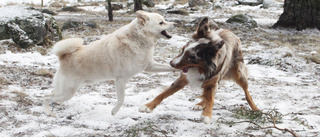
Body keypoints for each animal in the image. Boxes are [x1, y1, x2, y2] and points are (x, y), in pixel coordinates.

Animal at [43, 10, 176, 116]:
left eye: (164, 20)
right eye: (161, 22)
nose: (175, 24)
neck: (138, 38)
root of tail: (64, 56)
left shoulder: (150, 66)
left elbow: (169, 67)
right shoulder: (121, 80)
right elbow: (121, 100)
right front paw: (114, 111)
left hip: (65, 91)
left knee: (51, 94)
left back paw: (56, 104)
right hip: (67, 92)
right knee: (46, 97)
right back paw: (49, 113)